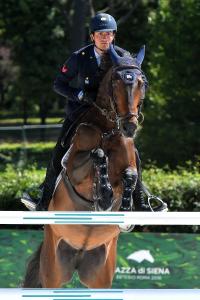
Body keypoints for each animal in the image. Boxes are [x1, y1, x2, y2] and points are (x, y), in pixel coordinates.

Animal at [22, 44, 146, 288]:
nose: (129, 127)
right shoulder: (74, 169)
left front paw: (125, 209)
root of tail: (79, 254)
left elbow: (130, 175)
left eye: (142, 82)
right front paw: (104, 195)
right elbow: (96, 155)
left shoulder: (128, 163)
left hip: (101, 274)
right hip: (53, 269)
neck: (108, 128)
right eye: (116, 82)